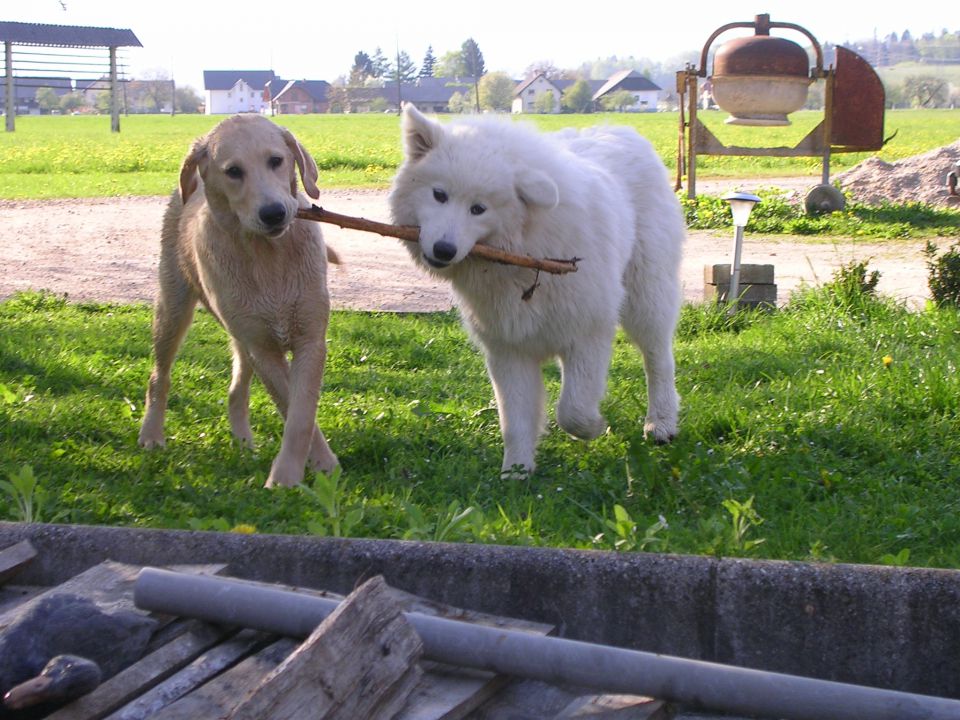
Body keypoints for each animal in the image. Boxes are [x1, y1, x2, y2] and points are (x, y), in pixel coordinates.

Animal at [139, 116, 338, 490]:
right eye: (233, 171)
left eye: (276, 161)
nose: (274, 213)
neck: (267, 255)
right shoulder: (265, 349)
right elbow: (291, 405)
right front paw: (291, 475)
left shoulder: (310, 340)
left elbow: (302, 412)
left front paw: (315, 466)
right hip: (174, 306)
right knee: (160, 375)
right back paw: (151, 433)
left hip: (241, 335)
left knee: (236, 389)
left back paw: (243, 440)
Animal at [386, 101, 688, 472]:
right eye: (439, 195)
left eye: (478, 209)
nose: (444, 250)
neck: (525, 249)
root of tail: (624, 131)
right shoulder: (508, 348)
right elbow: (515, 420)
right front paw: (516, 471)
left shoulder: (589, 335)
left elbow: (572, 410)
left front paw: (593, 427)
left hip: (646, 299)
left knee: (658, 360)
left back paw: (660, 423)